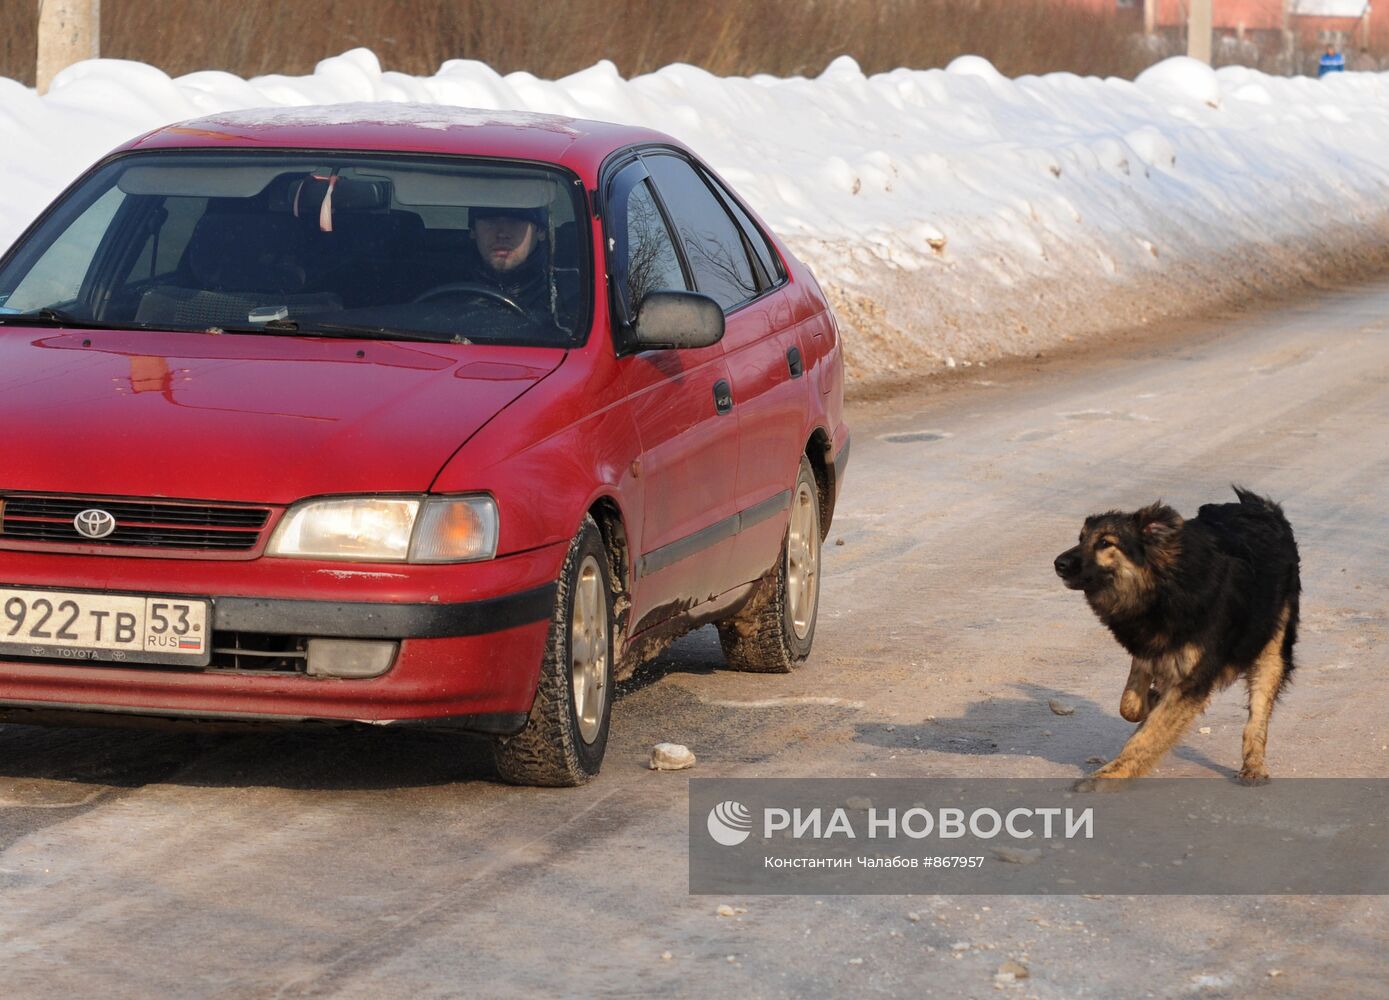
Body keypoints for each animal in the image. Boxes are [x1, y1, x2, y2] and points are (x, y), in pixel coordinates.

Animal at [1050, 488, 1300, 783]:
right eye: (1081, 539)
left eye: (1104, 543)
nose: (1058, 564)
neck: (1165, 586)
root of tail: (1263, 507)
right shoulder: (1148, 651)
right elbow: (1129, 704)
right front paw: (1152, 699)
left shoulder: (1193, 679)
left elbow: (1149, 734)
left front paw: (1112, 773)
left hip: (1271, 651)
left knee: (1257, 715)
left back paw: (1253, 765)